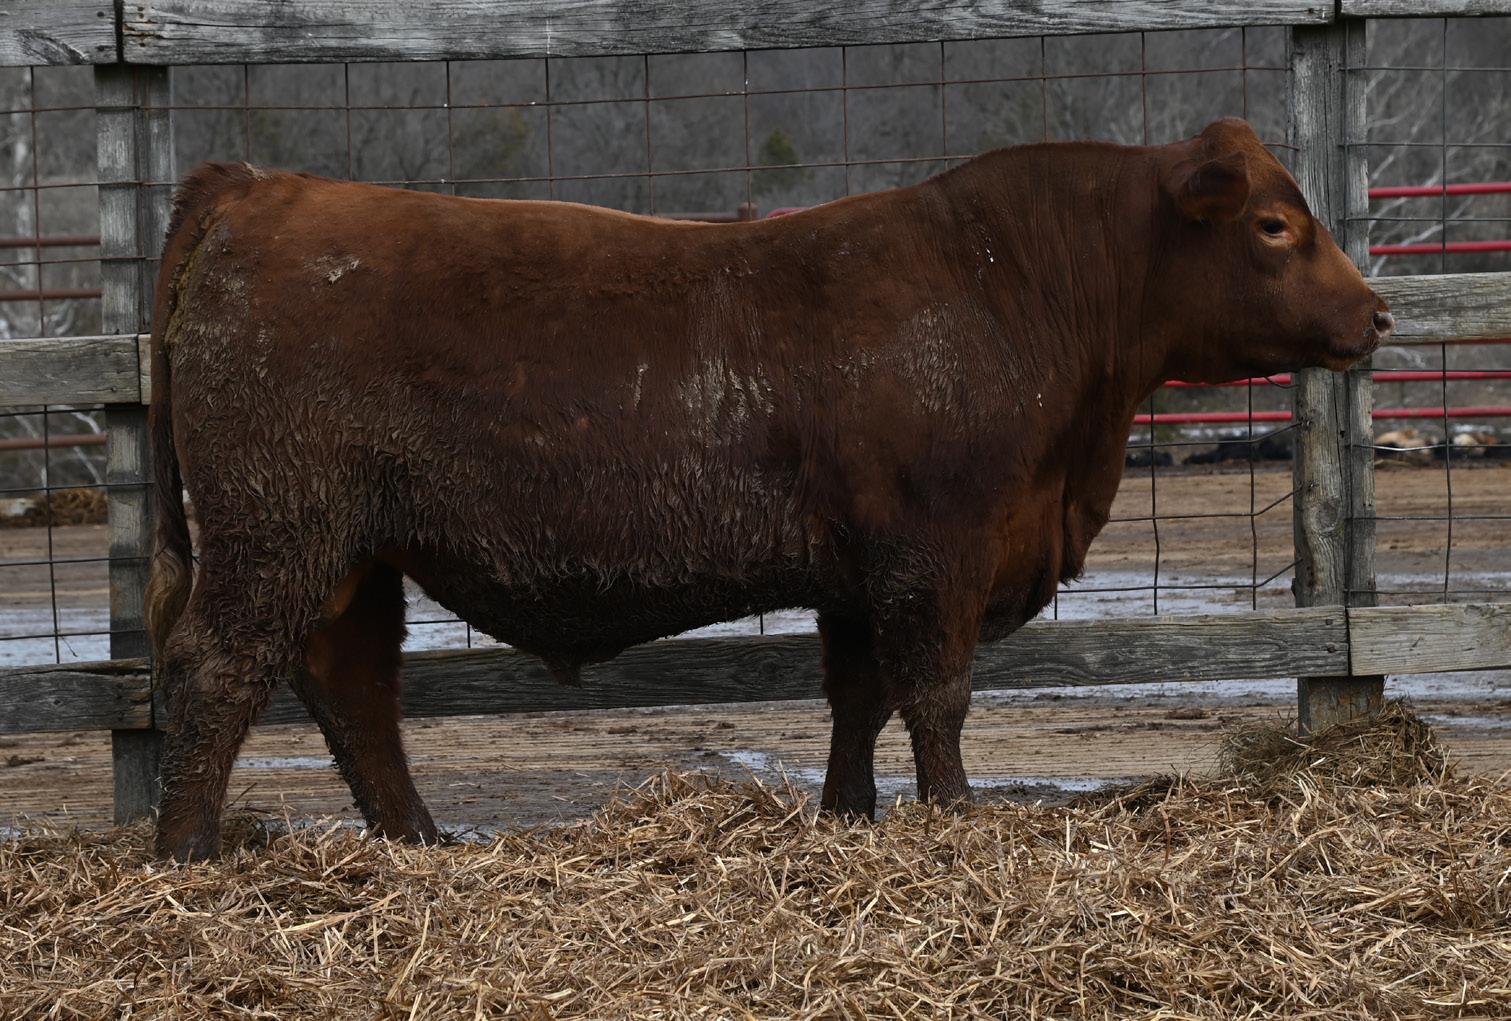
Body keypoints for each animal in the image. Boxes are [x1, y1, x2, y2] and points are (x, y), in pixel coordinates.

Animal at [143, 118, 1392, 860]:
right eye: (1273, 224)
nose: (1375, 312)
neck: (1014, 287)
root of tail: (260, 188)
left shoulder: (860, 574)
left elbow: (858, 697)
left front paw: (848, 817)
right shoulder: (936, 553)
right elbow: (935, 694)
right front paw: (952, 817)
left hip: (353, 552)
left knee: (351, 686)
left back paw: (418, 843)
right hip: (279, 526)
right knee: (219, 670)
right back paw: (186, 855)